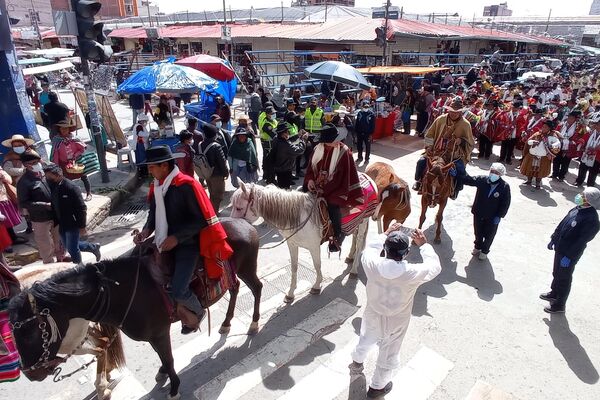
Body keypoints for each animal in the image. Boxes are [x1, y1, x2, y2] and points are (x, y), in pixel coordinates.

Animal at [7, 219, 260, 400]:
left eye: (30, 331)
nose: (31, 373)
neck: (120, 291)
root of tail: (246, 224)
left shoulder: (159, 332)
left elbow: (169, 359)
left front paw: (174, 387)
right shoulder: (154, 335)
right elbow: (161, 356)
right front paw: (162, 373)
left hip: (247, 268)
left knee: (256, 289)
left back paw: (254, 324)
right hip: (235, 273)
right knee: (235, 289)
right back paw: (226, 323)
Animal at [231, 182, 368, 304]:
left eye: (239, 208)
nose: (232, 229)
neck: (297, 217)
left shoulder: (314, 246)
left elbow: (317, 265)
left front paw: (317, 285)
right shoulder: (292, 244)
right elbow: (294, 267)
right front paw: (290, 294)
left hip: (363, 222)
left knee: (360, 242)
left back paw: (354, 270)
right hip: (356, 224)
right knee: (355, 237)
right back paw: (350, 257)